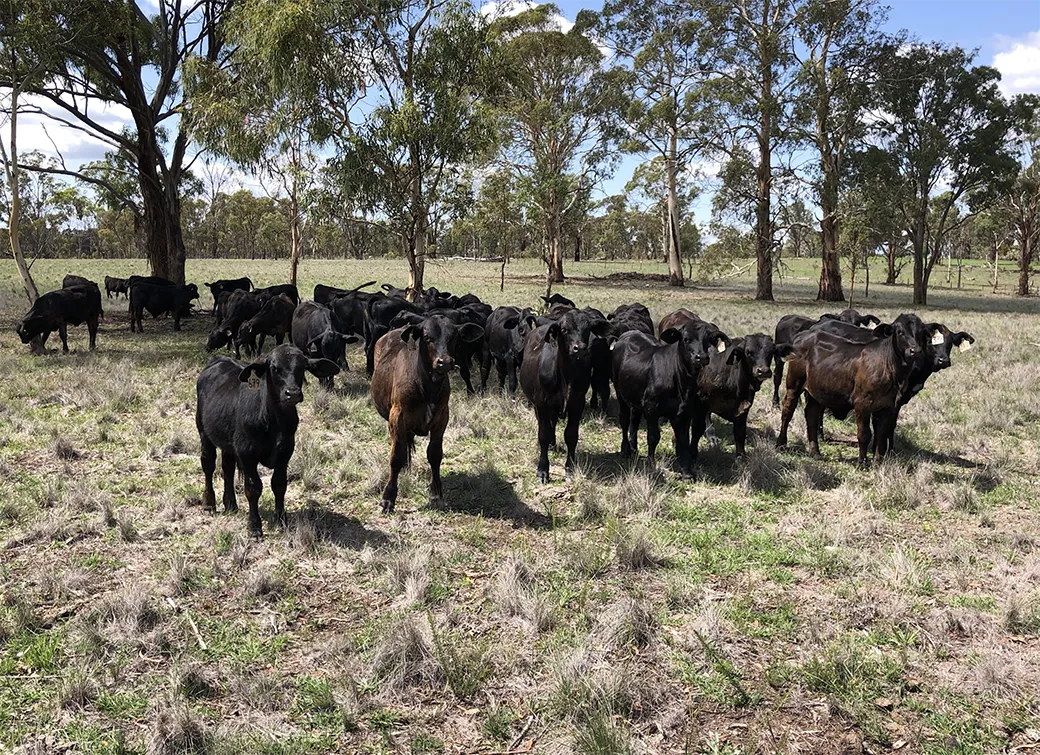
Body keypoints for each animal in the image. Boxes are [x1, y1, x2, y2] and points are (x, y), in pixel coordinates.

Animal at [196, 345, 339, 537]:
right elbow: (253, 488)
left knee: (227, 468)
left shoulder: (285, 451)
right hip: (203, 433)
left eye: (302, 368)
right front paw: (254, 526)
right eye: (274, 368)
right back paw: (209, 503)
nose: (292, 393)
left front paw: (281, 520)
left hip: (228, 442)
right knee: (208, 464)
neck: (274, 421)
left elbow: (279, 484)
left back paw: (231, 504)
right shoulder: (247, 453)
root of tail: (219, 359)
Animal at [370, 314, 485, 513]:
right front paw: (388, 497)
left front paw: (436, 492)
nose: (445, 362)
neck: (427, 386)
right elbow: (396, 456)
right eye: (428, 337)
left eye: (453, 338)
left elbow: (435, 454)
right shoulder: (397, 417)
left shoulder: (442, 417)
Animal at [519, 308, 612, 482]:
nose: (579, 348)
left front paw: (570, 467)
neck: (566, 377)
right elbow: (544, 434)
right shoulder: (541, 404)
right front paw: (543, 470)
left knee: (554, 422)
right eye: (564, 329)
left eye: (588, 329)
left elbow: (571, 435)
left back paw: (553, 444)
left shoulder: (577, 404)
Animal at [611, 316, 730, 478]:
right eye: (686, 339)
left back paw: (634, 448)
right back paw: (625, 450)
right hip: (620, 392)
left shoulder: (684, 413)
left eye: (710, 340)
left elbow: (683, 440)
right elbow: (653, 437)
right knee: (624, 420)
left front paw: (686, 472)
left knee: (634, 420)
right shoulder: (651, 409)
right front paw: (651, 465)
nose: (702, 357)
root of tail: (629, 333)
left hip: (635, 398)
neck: (681, 381)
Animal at [776, 314, 933, 463]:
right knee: (787, 412)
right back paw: (781, 444)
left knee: (812, 415)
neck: (889, 367)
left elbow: (882, 435)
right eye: (900, 331)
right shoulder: (862, 403)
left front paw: (878, 461)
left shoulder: (889, 406)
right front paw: (862, 462)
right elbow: (864, 434)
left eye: (922, 333)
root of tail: (804, 335)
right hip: (794, 384)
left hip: (818, 391)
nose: (915, 351)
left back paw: (815, 452)